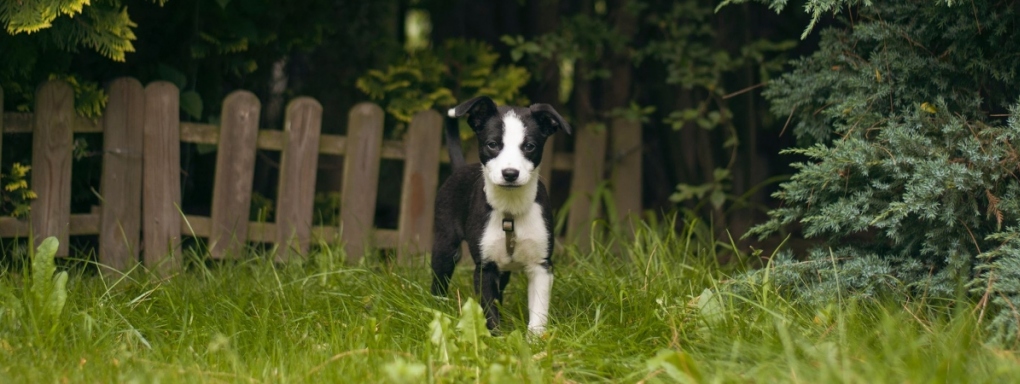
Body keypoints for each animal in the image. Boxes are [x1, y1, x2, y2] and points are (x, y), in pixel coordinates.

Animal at [432, 94, 575, 334]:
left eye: (529, 146)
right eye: (492, 144)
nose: (510, 173)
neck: (511, 209)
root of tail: (460, 168)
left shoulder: (541, 265)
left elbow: (538, 312)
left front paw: (535, 339)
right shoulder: (485, 267)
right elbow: (489, 311)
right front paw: (495, 338)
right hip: (445, 244)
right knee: (438, 280)